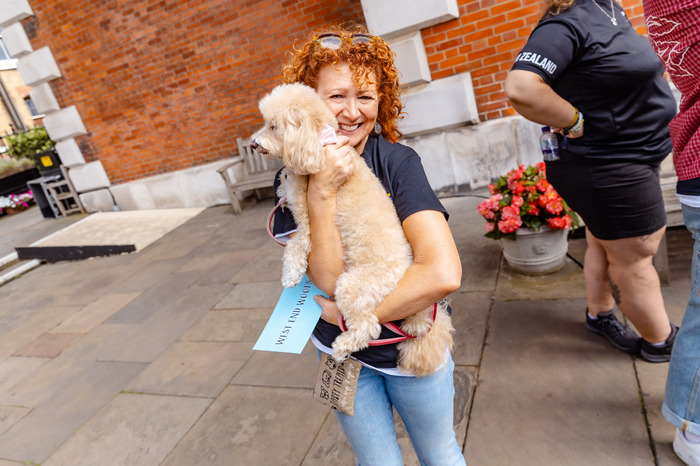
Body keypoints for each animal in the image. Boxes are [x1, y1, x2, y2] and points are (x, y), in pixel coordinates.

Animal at [252, 83, 454, 374]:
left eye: (273, 126)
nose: (253, 144)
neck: (319, 143)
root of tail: (404, 272)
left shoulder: (307, 220)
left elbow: (297, 243)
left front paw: (290, 274)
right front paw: (282, 183)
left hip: (351, 286)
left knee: (369, 326)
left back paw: (342, 346)